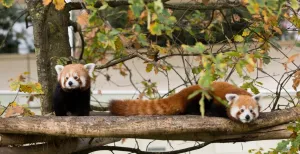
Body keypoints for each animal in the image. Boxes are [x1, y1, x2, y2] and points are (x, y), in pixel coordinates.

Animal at [109, 81, 262, 123]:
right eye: (241, 110)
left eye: (251, 111)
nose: (247, 117)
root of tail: (183, 92)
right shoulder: (218, 99)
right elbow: (215, 107)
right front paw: (212, 113)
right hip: (199, 95)